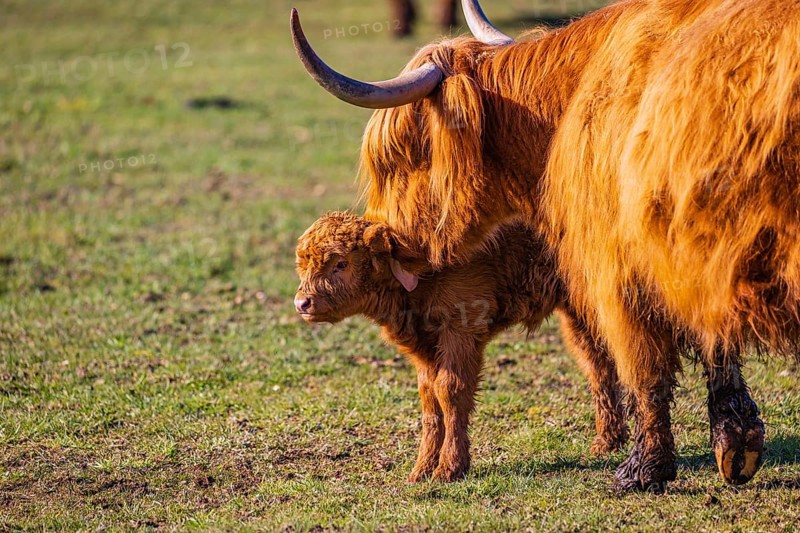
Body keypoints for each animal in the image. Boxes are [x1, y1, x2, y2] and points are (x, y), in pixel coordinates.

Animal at [294, 212, 629, 481]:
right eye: (304, 263)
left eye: (341, 263)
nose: (302, 303)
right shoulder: (425, 345)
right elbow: (430, 399)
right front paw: (422, 469)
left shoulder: (461, 331)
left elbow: (450, 391)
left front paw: (449, 469)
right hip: (577, 313)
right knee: (598, 364)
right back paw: (608, 442)